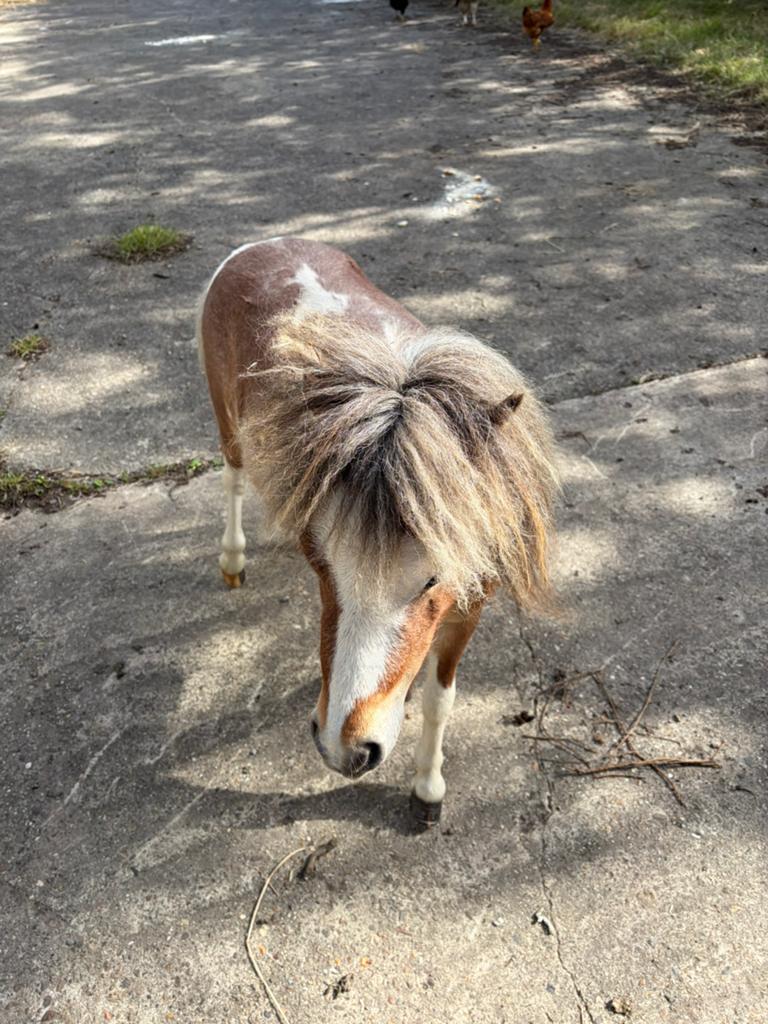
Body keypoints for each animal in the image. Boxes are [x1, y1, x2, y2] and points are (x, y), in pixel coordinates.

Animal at [197, 237, 558, 828]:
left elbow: (439, 698)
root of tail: (263, 245)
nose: (344, 750)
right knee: (231, 478)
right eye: (320, 562)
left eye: (433, 577)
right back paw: (233, 562)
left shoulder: (470, 603)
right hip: (228, 423)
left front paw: (428, 787)